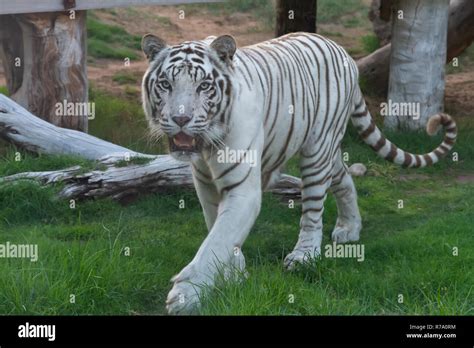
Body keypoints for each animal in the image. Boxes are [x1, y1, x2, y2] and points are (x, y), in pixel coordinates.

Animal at [140, 32, 456, 314]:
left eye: (204, 86)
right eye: (166, 84)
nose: (181, 119)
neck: (206, 146)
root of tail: (343, 53)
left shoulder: (242, 188)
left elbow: (216, 240)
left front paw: (185, 295)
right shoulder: (205, 183)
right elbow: (218, 231)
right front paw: (233, 275)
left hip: (316, 151)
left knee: (313, 212)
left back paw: (304, 255)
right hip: (328, 151)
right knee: (344, 177)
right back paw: (350, 227)